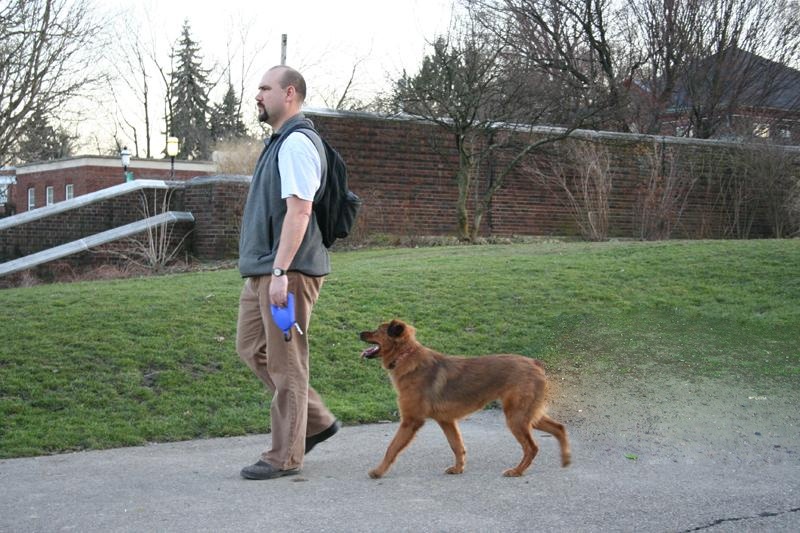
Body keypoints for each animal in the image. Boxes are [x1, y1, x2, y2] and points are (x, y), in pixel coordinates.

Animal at [360, 319, 571, 478]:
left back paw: (517, 471)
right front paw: (458, 468)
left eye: (377, 330)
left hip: (516, 417)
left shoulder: (411, 421)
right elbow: (457, 446)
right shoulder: (446, 421)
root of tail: (535, 364)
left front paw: (378, 471)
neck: (405, 356)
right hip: (527, 416)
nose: (359, 333)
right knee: (559, 428)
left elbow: (392, 448)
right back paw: (566, 459)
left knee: (531, 447)